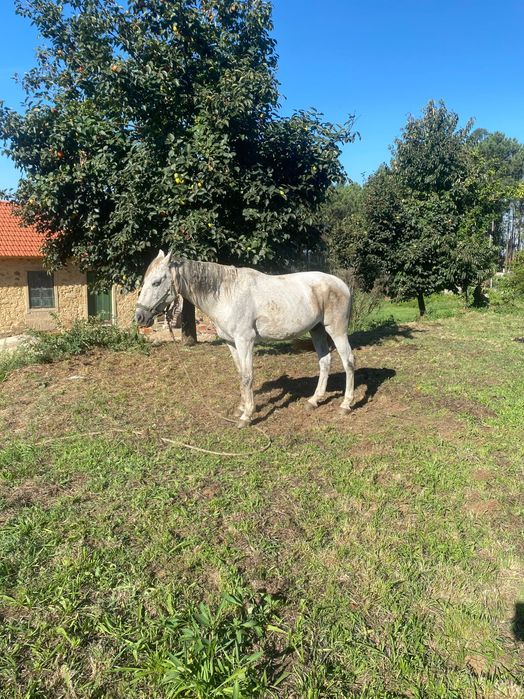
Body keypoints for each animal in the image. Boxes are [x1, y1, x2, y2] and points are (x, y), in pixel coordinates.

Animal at [135, 251, 355, 427]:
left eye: (156, 282)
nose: (139, 317)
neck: (226, 294)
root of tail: (342, 284)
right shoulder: (231, 343)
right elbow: (241, 374)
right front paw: (241, 408)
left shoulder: (245, 341)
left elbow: (248, 376)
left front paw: (247, 416)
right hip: (317, 330)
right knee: (325, 362)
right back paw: (313, 401)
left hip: (336, 330)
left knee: (349, 362)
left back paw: (346, 405)